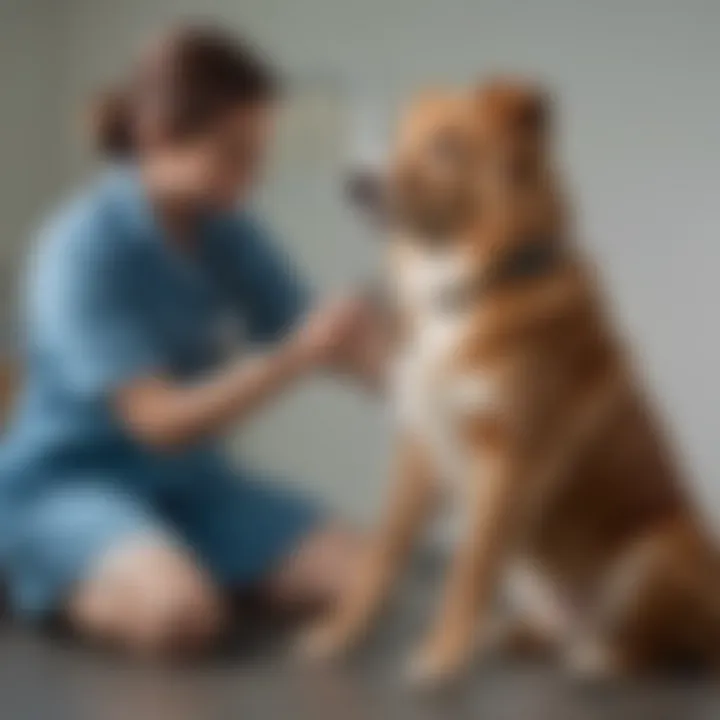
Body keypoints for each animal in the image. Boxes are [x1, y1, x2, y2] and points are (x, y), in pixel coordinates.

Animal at [300, 77, 720, 688]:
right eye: (400, 138)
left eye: (447, 146)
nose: (356, 184)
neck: (467, 283)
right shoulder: (420, 448)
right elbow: (383, 553)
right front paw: (338, 634)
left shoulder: (508, 456)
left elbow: (468, 568)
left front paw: (441, 659)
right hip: (531, 571)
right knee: (546, 626)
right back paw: (511, 637)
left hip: (665, 546)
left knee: (656, 647)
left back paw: (598, 658)